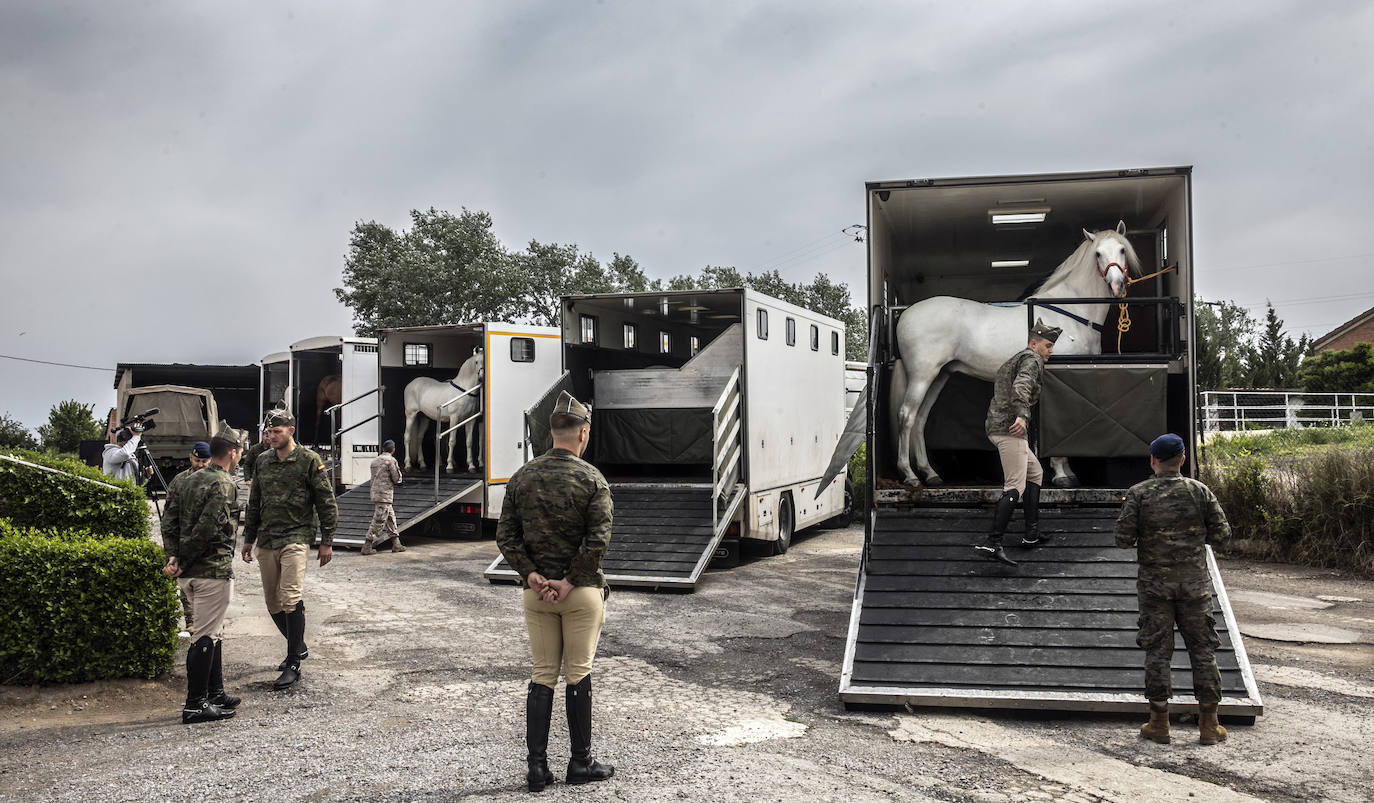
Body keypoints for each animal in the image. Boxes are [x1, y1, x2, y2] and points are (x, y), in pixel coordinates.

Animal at [890, 222, 1137, 489]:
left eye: (1122, 249)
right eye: (1098, 254)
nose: (1117, 285)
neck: (1071, 313)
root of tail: (905, 314)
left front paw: (1068, 472)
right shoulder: (1057, 374)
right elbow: (1057, 423)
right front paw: (1062, 475)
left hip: (939, 376)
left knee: (920, 418)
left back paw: (930, 473)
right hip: (922, 376)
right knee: (906, 416)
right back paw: (910, 475)